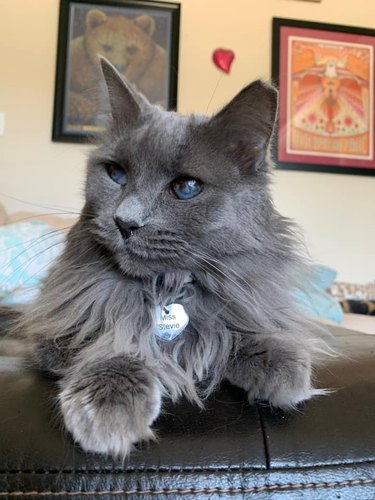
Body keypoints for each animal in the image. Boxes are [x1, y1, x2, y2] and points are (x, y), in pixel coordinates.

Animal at [2, 58, 328, 458]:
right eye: (116, 173)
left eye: (186, 188)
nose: (125, 222)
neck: (165, 289)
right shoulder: (60, 329)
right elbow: (115, 339)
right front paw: (111, 408)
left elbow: (226, 330)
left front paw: (278, 362)